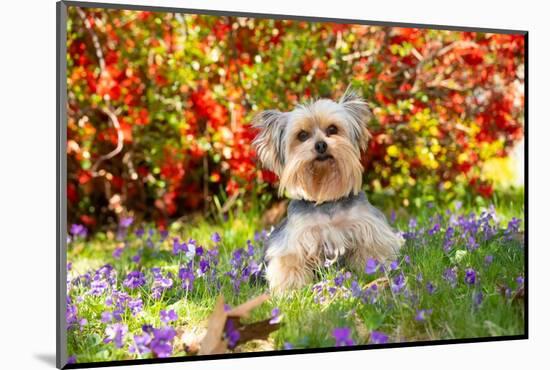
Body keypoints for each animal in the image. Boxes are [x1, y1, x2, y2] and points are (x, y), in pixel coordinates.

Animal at [254, 88, 406, 294]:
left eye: (332, 129)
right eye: (302, 135)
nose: (320, 145)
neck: (327, 199)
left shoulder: (368, 228)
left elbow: (373, 248)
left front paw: (375, 271)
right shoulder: (295, 241)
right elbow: (289, 262)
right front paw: (290, 290)